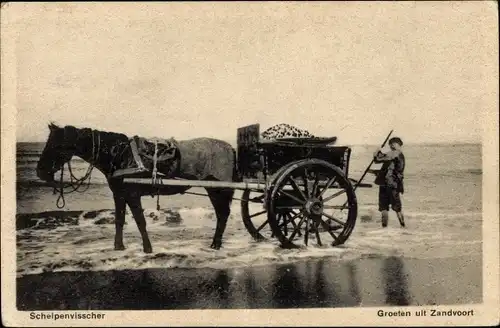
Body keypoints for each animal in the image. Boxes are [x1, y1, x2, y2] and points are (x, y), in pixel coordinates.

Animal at [36, 123, 237, 254]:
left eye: (55, 145)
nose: (40, 172)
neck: (119, 154)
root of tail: (230, 148)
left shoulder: (132, 194)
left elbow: (140, 221)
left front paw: (147, 248)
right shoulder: (119, 194)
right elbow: (119, 220)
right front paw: (118, 246)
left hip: (218, 190)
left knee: (223, 214)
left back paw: (216, 243)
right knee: (222, 214)